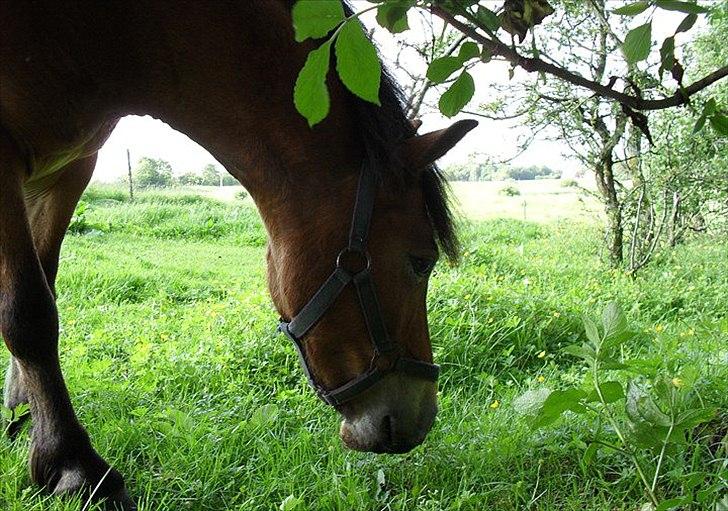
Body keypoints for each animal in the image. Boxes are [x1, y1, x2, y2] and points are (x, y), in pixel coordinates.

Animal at [0, 2, 474, 510]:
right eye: (421, 261)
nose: (420, 417)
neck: (111, 34)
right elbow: (29, 314)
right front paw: (72, 465)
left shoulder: (68, 170)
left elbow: (45, 284)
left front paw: (25, 412)